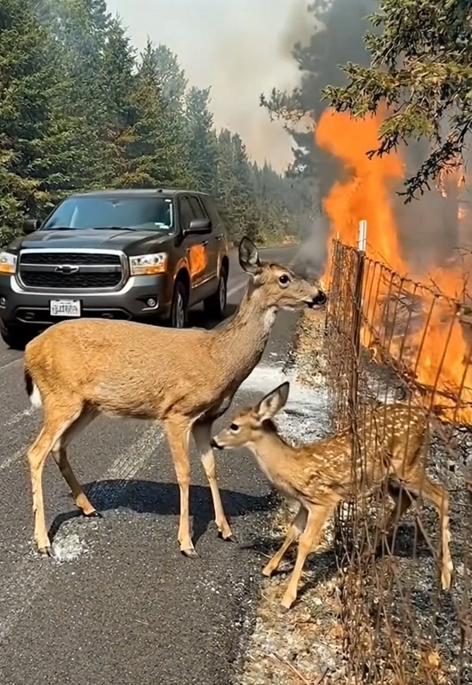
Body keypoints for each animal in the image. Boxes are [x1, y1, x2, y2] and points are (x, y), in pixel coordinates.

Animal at [22, 237, 327, 558]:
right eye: (284, 278)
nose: (320, 295)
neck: (219, 358)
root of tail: (30, 350)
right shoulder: (177, 413)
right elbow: (184, 473)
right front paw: (186, 543)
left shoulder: (205, 419)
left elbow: (211, 468)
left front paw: (225, 530)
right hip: (60, 395)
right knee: (35, 452)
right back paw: (43, 541)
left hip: (86, 405)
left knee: (58, 447)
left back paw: (89, 508)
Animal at [210, 382, 453, 609]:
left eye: (234, 426)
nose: (213, 441)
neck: (292, 466)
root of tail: (424, 419)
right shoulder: (305, 503)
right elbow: (292, 531)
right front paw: (269, 568)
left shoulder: (323, 500)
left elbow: (305, 542)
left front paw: (288, 597)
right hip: (390, 476)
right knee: (406, 499)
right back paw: (366, 553)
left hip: (407, 466)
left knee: (442, 495)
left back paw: (446, 575)